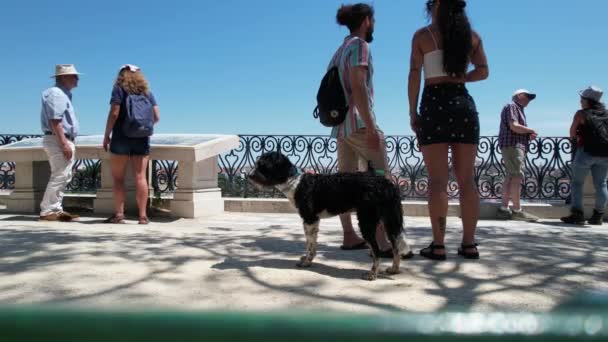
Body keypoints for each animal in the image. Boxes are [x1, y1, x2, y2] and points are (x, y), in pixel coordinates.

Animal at [248, 152, 414, 280]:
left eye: (263, 165)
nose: (248, 175)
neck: (295, 182)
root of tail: (385, 183)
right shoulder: (313, 221)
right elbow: (312, 244)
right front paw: (308, 259)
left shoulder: (309, 219)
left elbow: (309, 245)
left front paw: (306, 262)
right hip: (389, 221)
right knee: (395, 247)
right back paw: (394, 269)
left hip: (367, 221)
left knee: (377, 250)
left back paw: (372, 274)